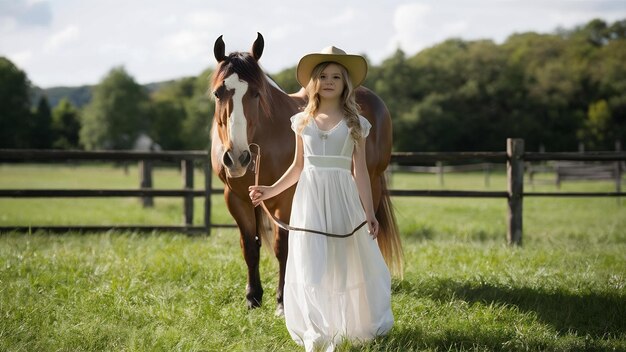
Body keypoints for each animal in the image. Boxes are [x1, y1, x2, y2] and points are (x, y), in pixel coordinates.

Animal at [210, 33, 400, 314]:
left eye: (256, 93)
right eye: (217, 93)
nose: (236, 158)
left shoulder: (285, 199)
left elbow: (283, 247)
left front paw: (282, 302)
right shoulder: (237, 198)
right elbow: (250, 247)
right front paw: (252, 298)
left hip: (371, 182)